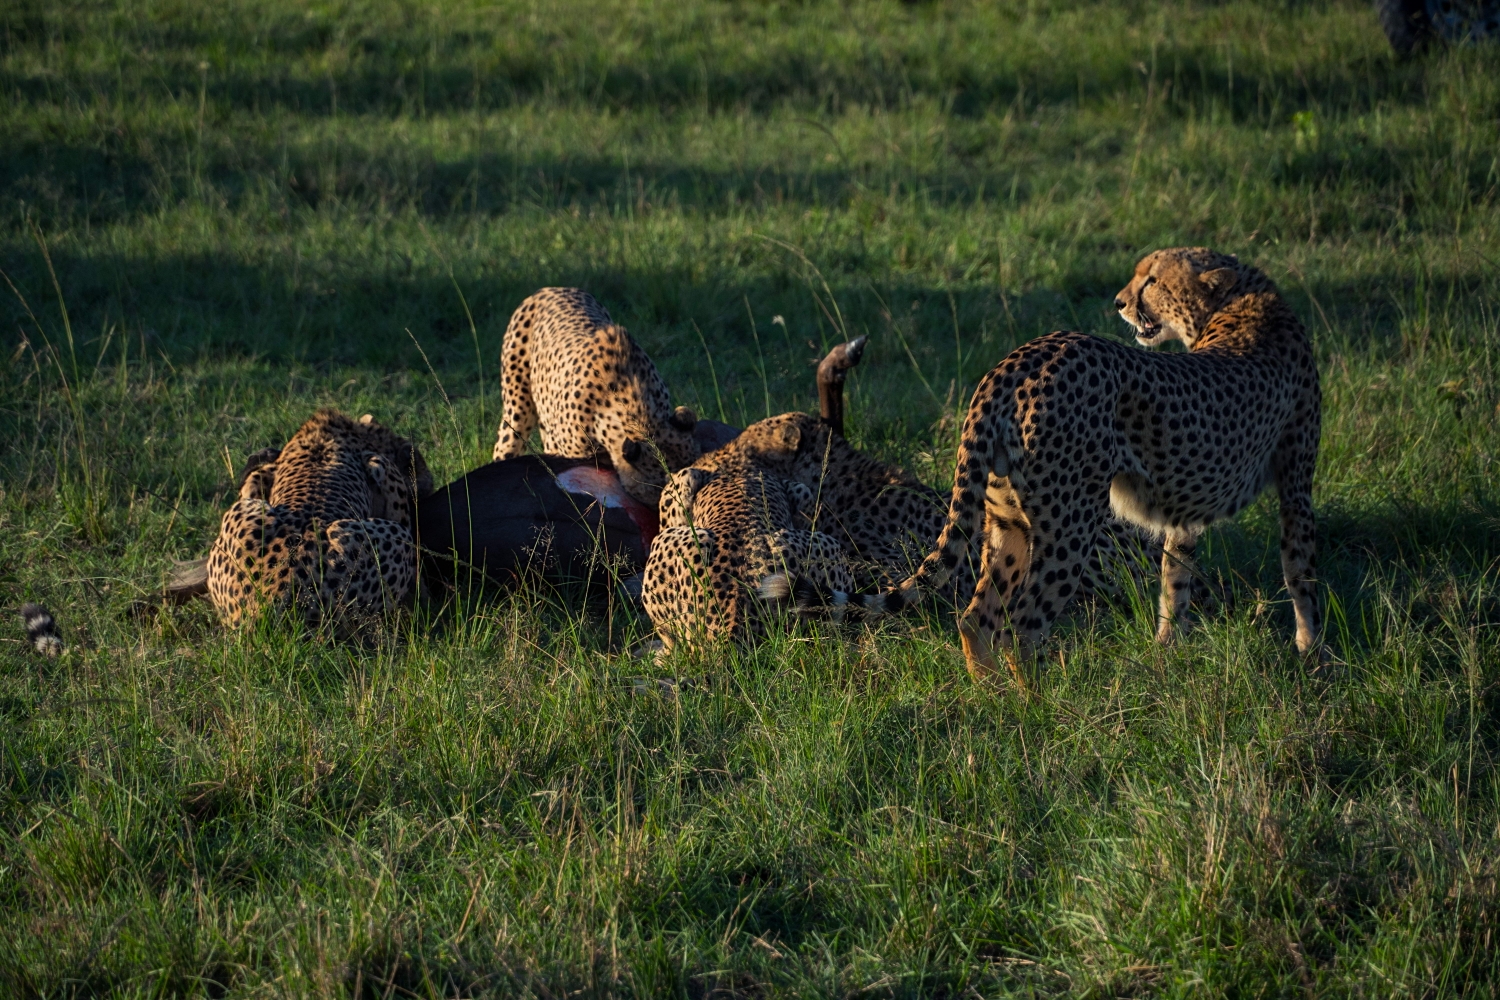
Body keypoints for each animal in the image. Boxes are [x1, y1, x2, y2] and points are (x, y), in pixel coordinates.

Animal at [204, 407, 435, 626]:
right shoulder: (383, 469)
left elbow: (254, 478)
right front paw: (425, 599)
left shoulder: (262, 476)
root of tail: (275, 602)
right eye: (417, 463)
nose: (431, 483)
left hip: (242, 511)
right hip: (391, 539)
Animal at [864, 247, 1320, 683]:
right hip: (1071, 525)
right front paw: (1312, 653)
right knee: (1024, 627)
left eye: (1153, 280)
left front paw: (1168, 648)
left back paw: (990, 698)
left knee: (978, 618)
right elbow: (1300, 571)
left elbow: (1176, 576)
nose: (1119, 303)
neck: (1241, 301)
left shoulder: (1185, 510)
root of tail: (1014, 361)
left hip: (1007, 520)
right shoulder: (1296, 485)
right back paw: (1041, 704)